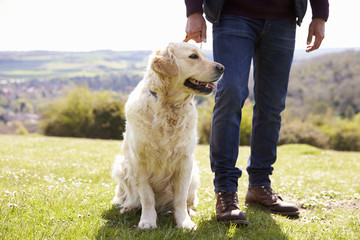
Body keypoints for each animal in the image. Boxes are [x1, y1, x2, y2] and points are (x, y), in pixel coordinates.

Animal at [112, 42, 225, 230]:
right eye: (193, 56)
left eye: (203, 55)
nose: (222, 67)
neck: (169, 107)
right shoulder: (140, 162)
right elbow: (146, 196)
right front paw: (148, 221)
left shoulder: (185, 161)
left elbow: (180, 198)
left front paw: (184, 222)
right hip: (122, 165)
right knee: (133, 197)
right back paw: (129, 207)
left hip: (194, 173)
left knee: (188, 201)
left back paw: (189, 212)